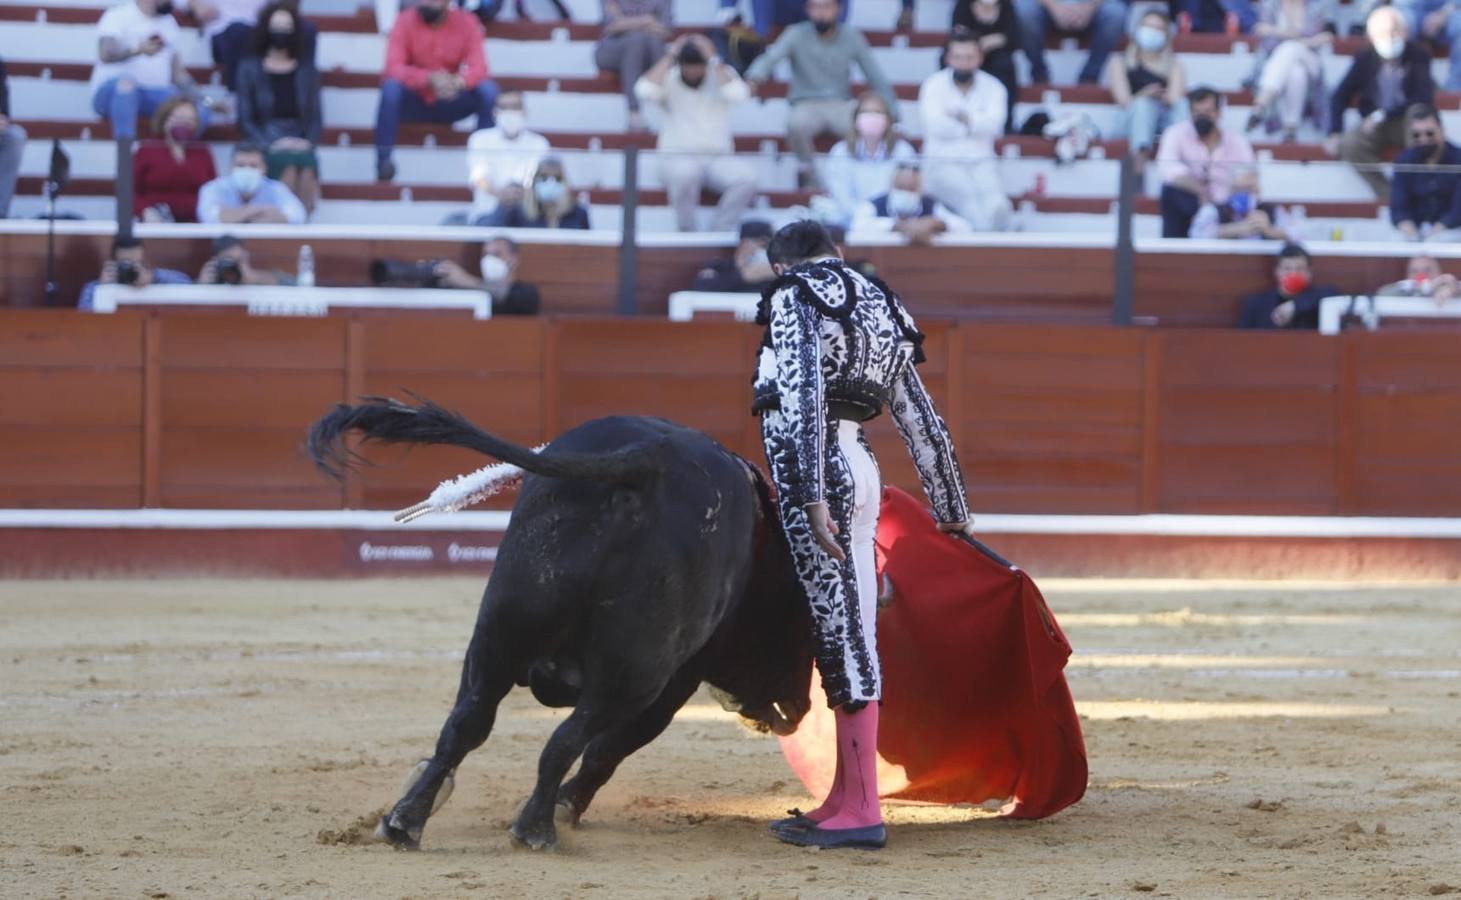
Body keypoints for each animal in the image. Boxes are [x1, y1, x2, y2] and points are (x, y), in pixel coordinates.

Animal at [306, 400, 818, 853]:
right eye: (800, 628)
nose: (800, 710)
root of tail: (647, 461)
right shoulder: (677, 682)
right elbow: (610, 748)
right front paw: (566, 806)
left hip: (498, 632)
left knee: (467, 721)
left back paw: (404, 821)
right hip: (635, 673)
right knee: (568, 738)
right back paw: (536, 829)